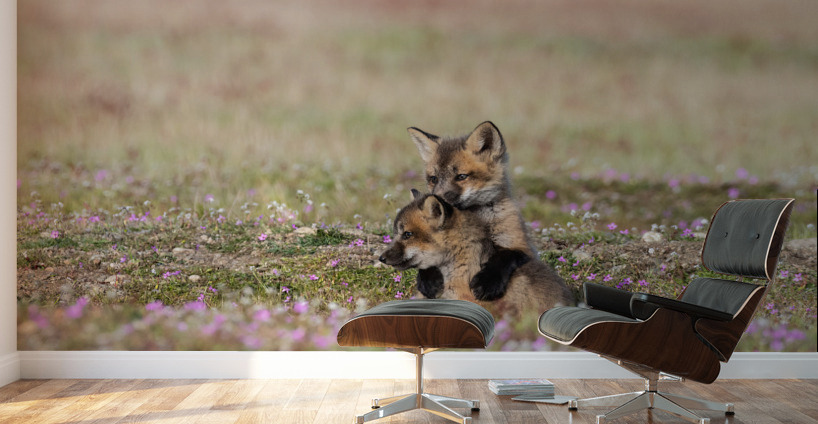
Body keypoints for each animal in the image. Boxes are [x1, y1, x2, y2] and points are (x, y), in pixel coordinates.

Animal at [407, 121, 546, 301]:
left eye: (461, 177)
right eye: (433, 179)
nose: (436, 201)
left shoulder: (523, 247)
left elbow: (504, 257)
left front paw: (487, 282)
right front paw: (428, 278)